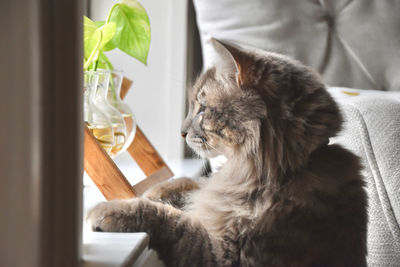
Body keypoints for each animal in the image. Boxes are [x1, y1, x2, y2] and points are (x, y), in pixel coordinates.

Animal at [86, 38, 366, 266]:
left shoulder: (223, 253)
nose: (181, 132)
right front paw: (157, 191)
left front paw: (112, 210)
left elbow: (170, 219)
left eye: (202, 109)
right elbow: (193, 183)